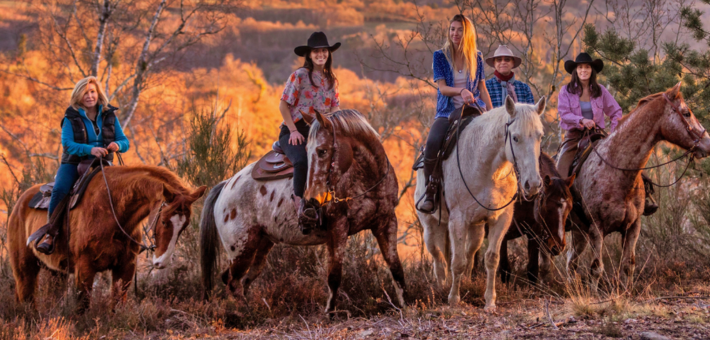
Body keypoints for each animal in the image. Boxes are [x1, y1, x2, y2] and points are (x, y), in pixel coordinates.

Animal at [9, 166, 207, 312]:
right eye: (164, 221)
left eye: (184, 225)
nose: (161, 262)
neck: (113, 212)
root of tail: (19, 203)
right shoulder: (84, 268)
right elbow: (82, 306)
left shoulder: (126, 266)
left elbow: (117, 303)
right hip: (24, 268)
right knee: (26, 298)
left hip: (55, 272)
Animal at [414, 96, 548, 310]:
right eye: (515, 137)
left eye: (540, 136)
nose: (533, 184)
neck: (487, 169)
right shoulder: (458, 220)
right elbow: (457, 262)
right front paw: (454, 299)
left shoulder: (500, 219)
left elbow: (491, 259)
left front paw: (490, 301)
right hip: (431, 225)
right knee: (438, 258)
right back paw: (441, 288)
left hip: (476, 227)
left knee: (470, 254)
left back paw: (466, 282)